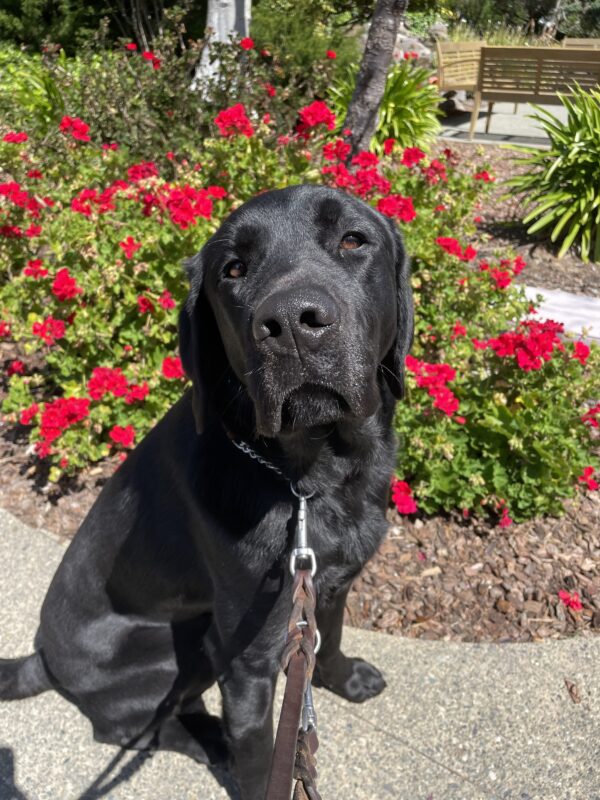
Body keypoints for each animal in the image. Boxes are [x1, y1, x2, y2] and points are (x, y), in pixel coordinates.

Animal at [0, 183, 412, 800]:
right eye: (233, 269)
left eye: (352, 240)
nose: (291, 322)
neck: (312, 480)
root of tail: (42, 659)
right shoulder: (248, 661)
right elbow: (261, 753)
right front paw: (250, 762)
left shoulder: (330, 586)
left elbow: (330, 640)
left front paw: (346, 678)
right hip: (180, 642)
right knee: (131, 728)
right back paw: (210, 741)